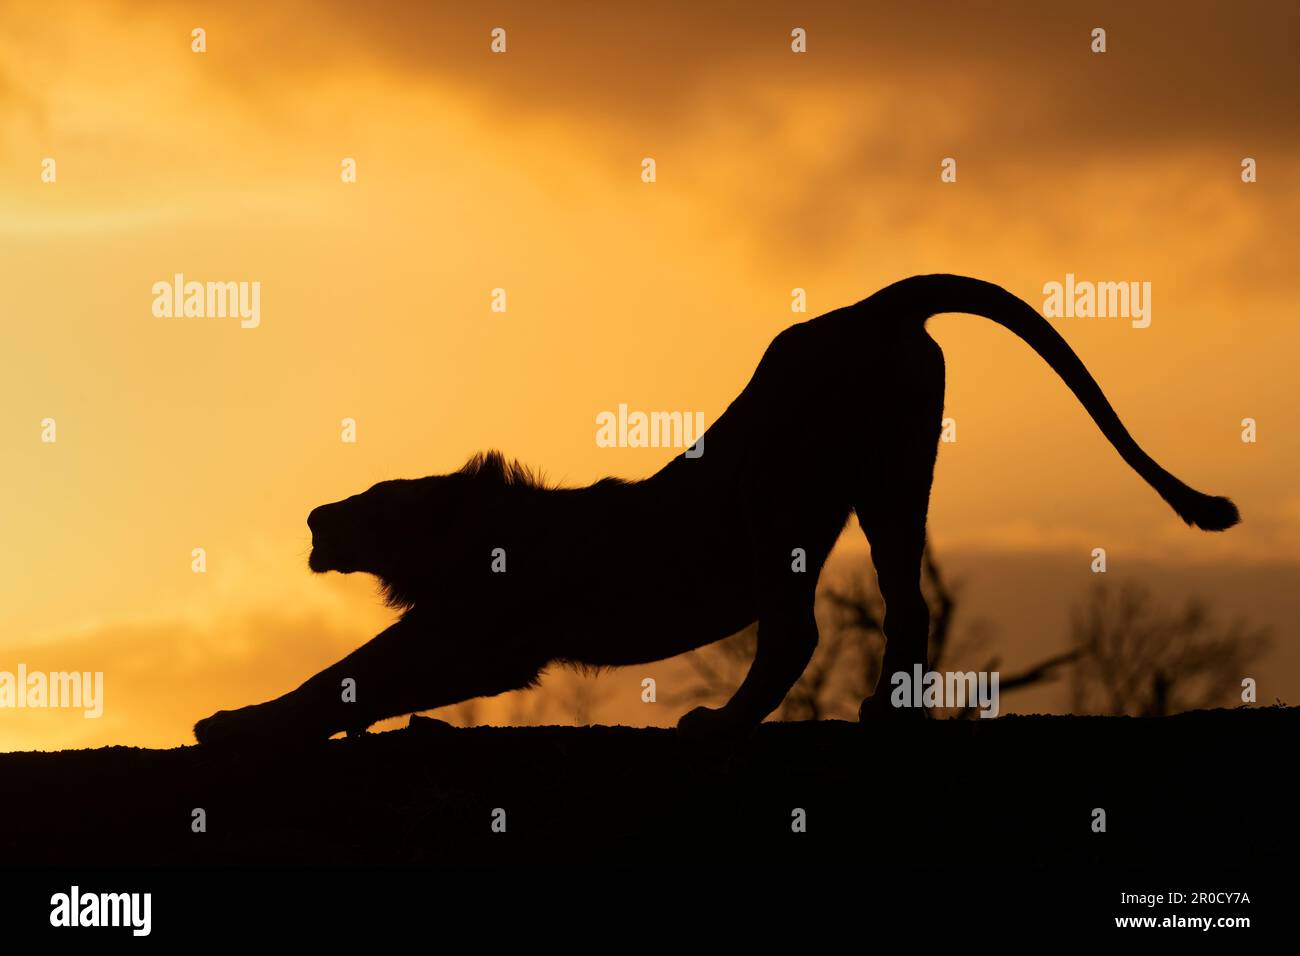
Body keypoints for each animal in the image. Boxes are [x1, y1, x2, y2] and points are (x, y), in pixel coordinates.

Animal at [194, 274, 1238, 744]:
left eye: (376, 503)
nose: (313, 520)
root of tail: (879, 304)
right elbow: (364, 679)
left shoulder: (487, 634)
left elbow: (354, 672)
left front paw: (236, 723)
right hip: (894, 476)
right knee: (907, 602)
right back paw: (878, 713)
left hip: (784, 489)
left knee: (800, 628)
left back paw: (725, 722)